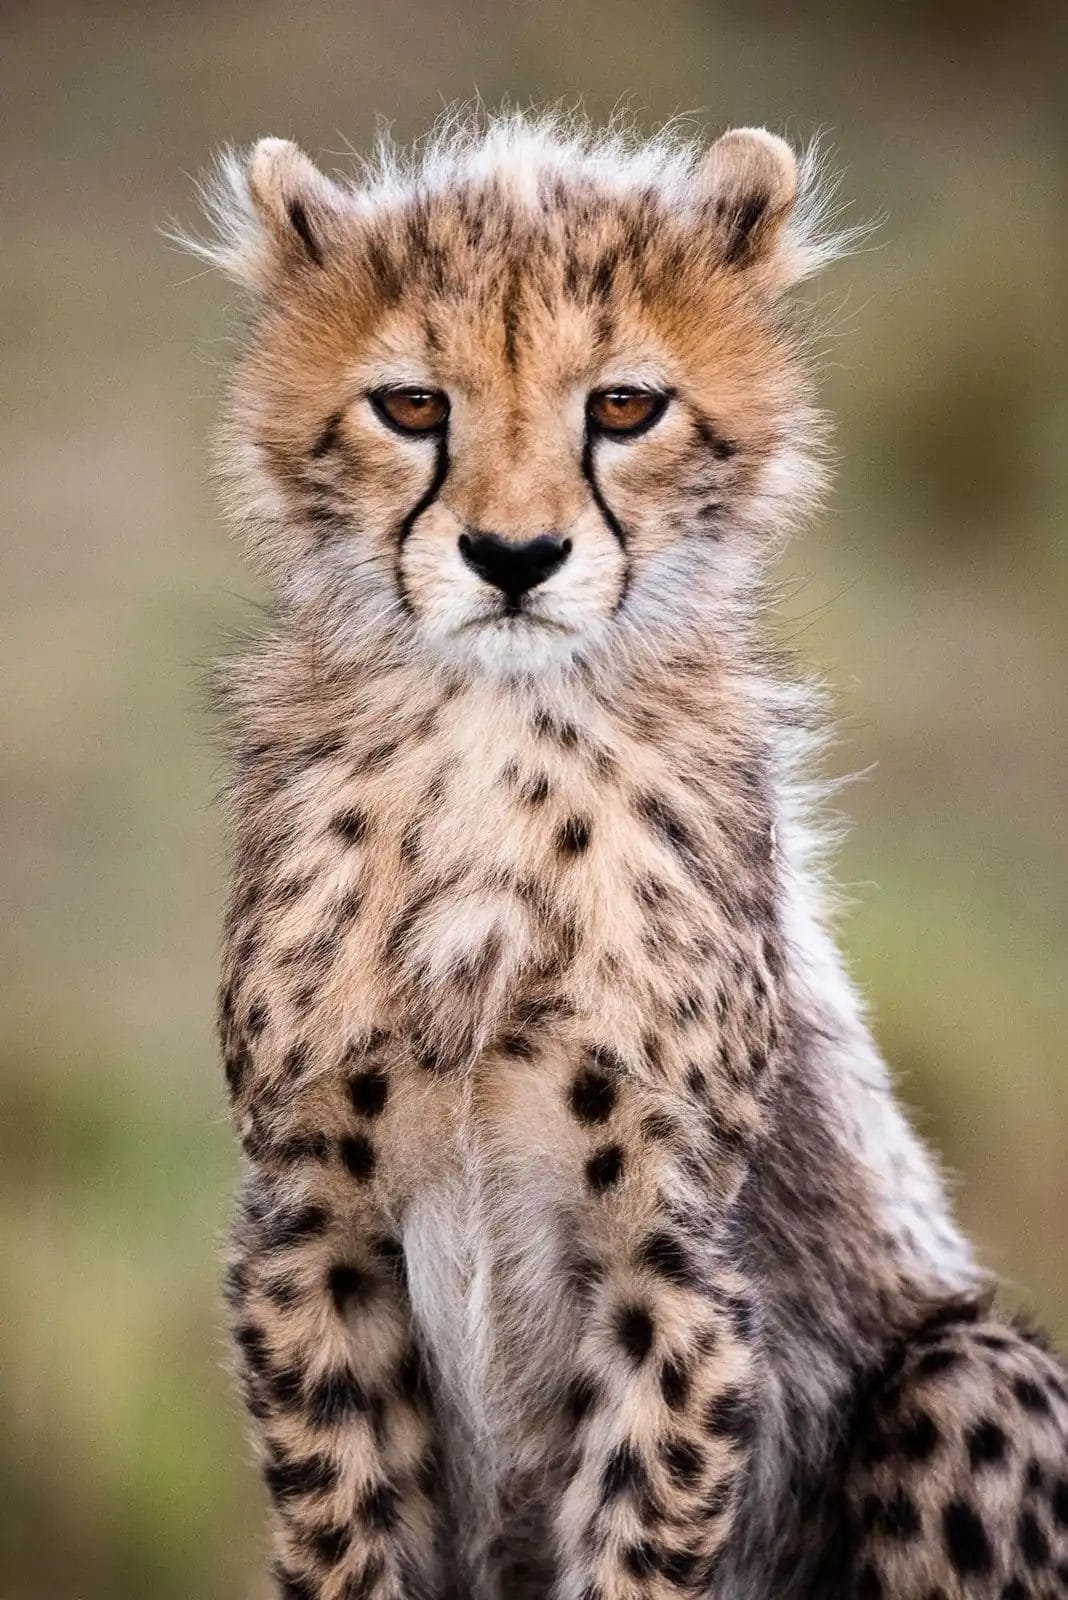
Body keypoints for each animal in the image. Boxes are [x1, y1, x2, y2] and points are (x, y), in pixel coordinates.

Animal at [182, 109, 1068, 1600]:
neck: (496, 738)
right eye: (411, 407)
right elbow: (345, 1525)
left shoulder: (677, 1254)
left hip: (979, 1369)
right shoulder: (312, 1229)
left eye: (622, 408)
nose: (514, 555)